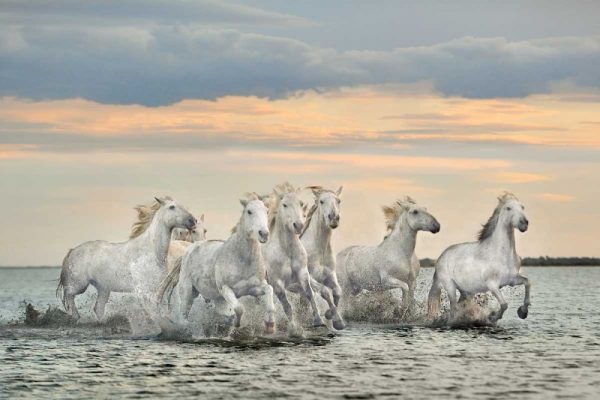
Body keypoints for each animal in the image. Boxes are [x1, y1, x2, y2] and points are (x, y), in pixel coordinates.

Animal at [57, 197, 196, 322]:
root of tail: (72, 251)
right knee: (69, 295)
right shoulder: (144, 288)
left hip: (103, 289)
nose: (192, 221)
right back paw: (76, 316)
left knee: (98, 309)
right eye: (172, 207)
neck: (150, 251)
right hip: (79, 285)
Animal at [156, 194, 276, 334]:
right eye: (249, 211)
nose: (264, 234)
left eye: (266, 211)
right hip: (188, 292)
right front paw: (235, 323)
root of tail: (189, 249)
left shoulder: (254, 288)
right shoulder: (226, 289)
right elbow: (239, 308)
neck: (243, 260)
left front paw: (270, 326)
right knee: (183, 317)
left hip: (214, 297)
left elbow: (269, 291)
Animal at [262, 183, 326, 332]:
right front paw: (294, 329)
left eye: (301, 203)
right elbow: (287, 306)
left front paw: (319, 321)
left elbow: (309, 294)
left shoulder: (302, 273)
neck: (288, 251)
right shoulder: (277, 283)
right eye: (284, 205)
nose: (299, 225)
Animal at [300, 186, 346, 330]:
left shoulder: (329, 274)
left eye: (338, 200)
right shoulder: (309, 277)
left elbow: (337, 291)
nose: (334, 218)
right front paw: (334, 318)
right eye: (321, 201)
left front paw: (332, 317)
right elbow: (325, 291)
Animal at [426, 192, 528, 324]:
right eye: (508, 208)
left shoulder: (511, 280)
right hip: (450, 287)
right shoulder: (492, 285)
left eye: (522, 207)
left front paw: (523, 312)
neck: (501, 254)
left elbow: (527, 282)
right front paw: (493, 317)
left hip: (466, 291)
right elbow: (504, 304)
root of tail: (440, 258)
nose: (524, 223)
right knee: (453, 309)